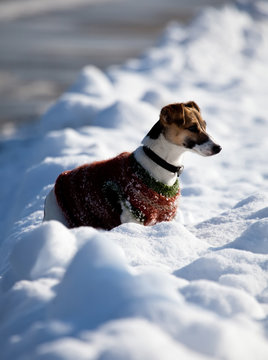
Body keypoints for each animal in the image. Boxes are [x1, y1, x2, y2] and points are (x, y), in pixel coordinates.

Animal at [44, 101, 221, 229]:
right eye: (192, 127)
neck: (159, 162)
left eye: (205, 125)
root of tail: (53, 190)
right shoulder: (133, 216)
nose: (219, 148)